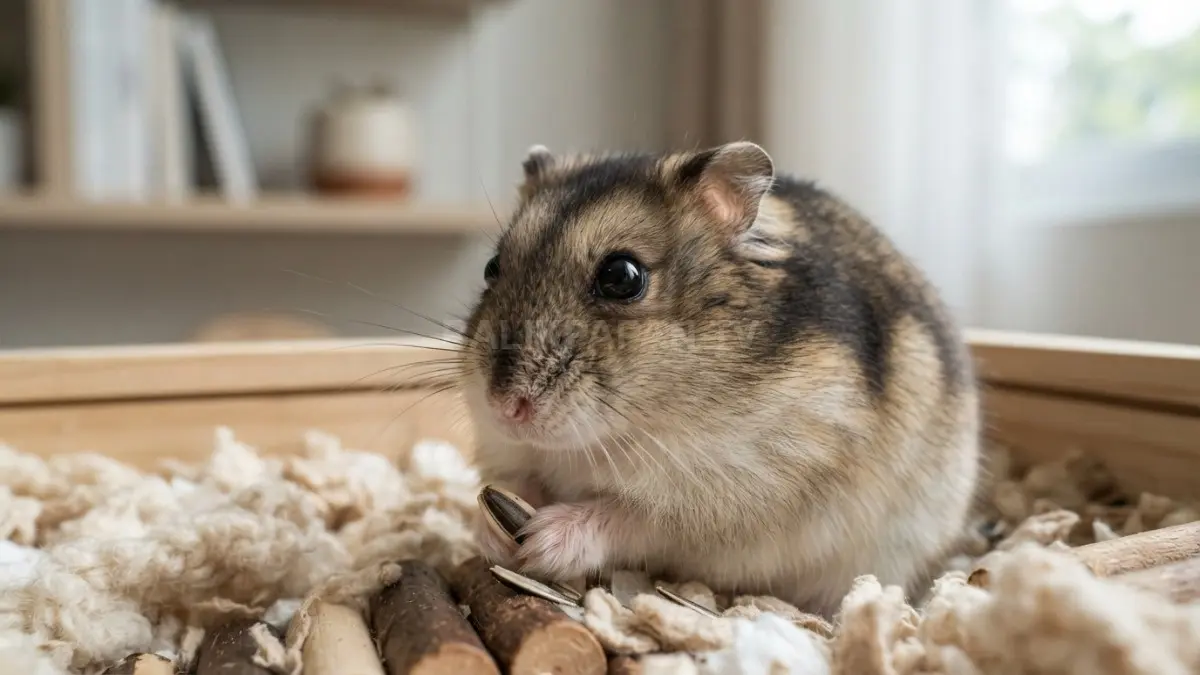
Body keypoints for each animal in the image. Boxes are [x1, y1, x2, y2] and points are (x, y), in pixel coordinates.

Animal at [458, 141, 981, 616]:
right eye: (491, 267)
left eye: (622, 277)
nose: (504, 409)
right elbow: (513, 481)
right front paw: (491, 532)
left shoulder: (733, 499)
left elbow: (634, 516)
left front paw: (541, 540)